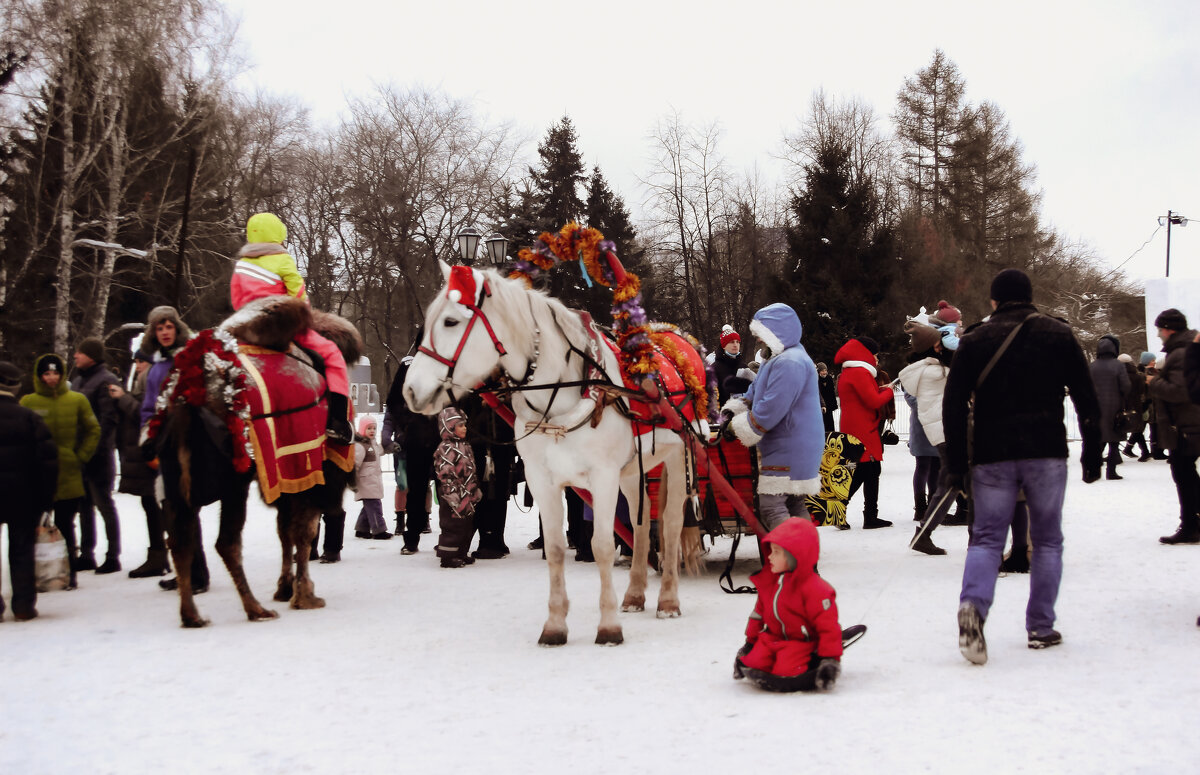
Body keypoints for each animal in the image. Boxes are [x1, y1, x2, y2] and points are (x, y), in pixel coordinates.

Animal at [148, 297, 360, 633]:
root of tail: (187, 396)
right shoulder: (311, 472)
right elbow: (303, 532)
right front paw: (304, 595)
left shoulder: (287, 477)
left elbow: (286, 532)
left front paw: (286, 588)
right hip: (233, 484)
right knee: (226, 543)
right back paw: (255, 609)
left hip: (179, 487)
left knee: (182, 541)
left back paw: (193, 615)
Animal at [403, 263, 700, 647]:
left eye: (451, 321)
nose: (410, 390)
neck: (565, 392)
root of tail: (673, 338)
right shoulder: (542, 479)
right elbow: (557, 548)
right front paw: (556, 625)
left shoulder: (602, 476)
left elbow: (602, 545)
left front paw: (609, 627)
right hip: (634, 470)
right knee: (640, 522)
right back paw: (634, 595)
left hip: (679, 456)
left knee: (670, 524)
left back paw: (667, 599)